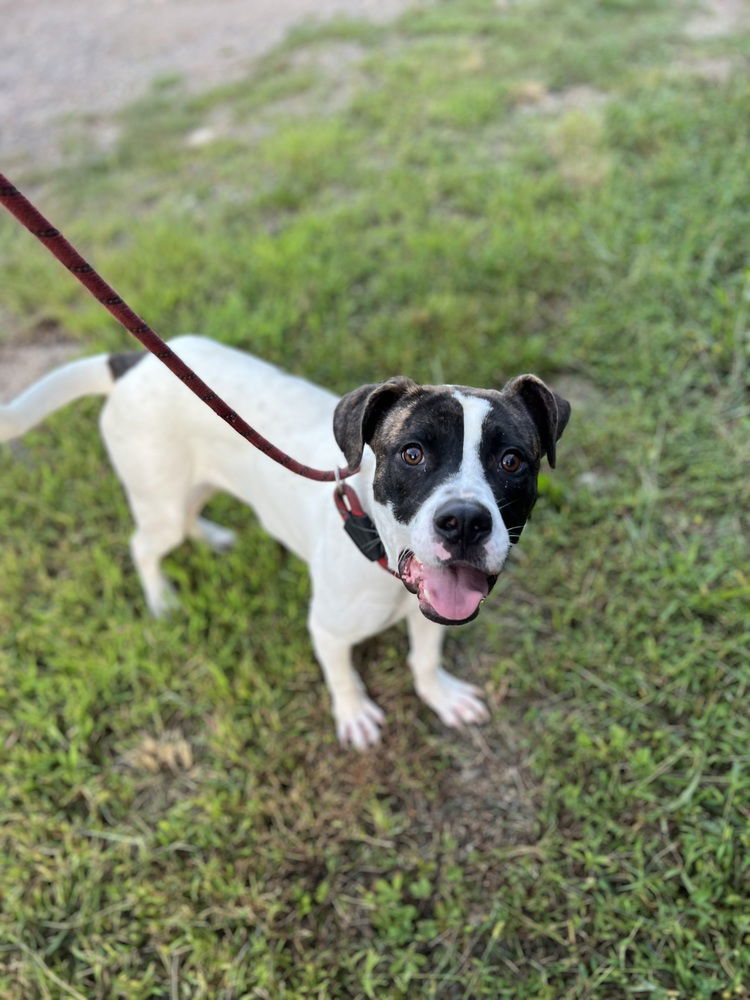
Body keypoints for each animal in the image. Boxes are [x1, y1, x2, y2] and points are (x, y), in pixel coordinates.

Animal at [0, 338, 568, 752]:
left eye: (512, 461)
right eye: (412, 453)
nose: (465, 522)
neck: (378, 552)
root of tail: (133, 362)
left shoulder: (430, 613)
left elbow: (424, 659)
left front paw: (441, 697)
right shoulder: (328, 629)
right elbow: (343, 676)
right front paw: (354, 714)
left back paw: (211, 536)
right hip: (159, 501)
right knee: (144, 544)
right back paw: (162, 600)